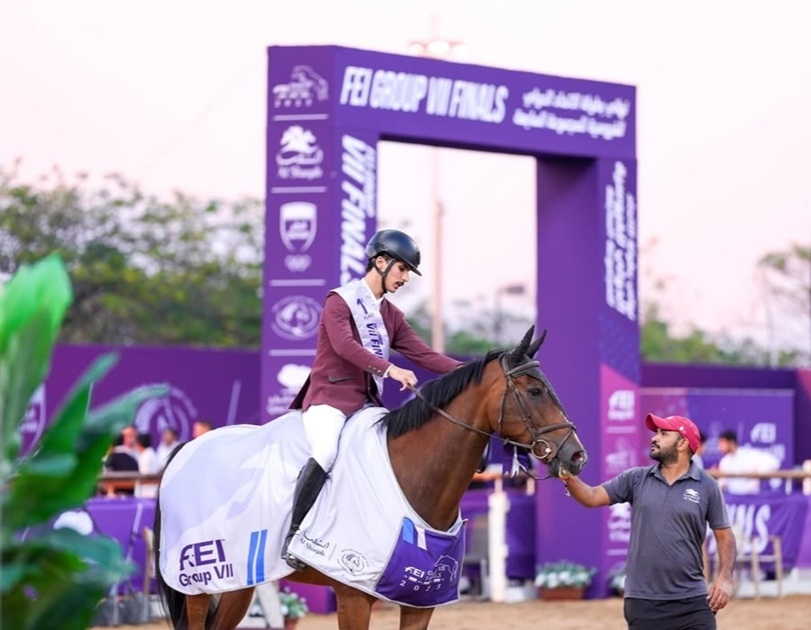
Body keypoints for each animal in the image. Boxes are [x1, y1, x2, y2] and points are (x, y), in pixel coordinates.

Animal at [153, 326, 589, 630]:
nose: (576, 455)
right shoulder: (353, 596)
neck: (410, 475)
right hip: (197, 583)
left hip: (238, 580)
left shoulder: (420, 602)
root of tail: (186, 449)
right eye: (534, 391)